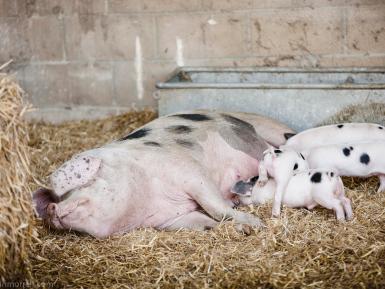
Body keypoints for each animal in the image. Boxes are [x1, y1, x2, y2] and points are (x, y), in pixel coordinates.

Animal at [33, 110, 292, 236]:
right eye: (60, 196)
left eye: (82, 184)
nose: (51, 207)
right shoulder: (169, 220)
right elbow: (204, 222)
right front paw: (242, 231)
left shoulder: (190, 172)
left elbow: (215, 207)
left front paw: (256, 225)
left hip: (272, 130)